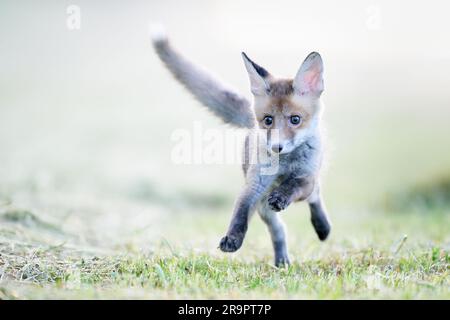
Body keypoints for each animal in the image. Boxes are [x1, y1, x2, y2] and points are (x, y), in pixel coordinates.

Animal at [151, 28, 330, 266]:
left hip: (305, 184)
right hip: (263, 208)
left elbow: (294, 186)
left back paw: (322, 227)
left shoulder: (305, 177)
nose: (277, 147)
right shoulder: (255, 184)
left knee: (315, 195)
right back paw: (282, 261)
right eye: (268, 120)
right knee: (279, 229)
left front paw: (282, 196)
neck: (285, 165)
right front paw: (232, 238)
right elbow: (241, 212)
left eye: (295, 119)